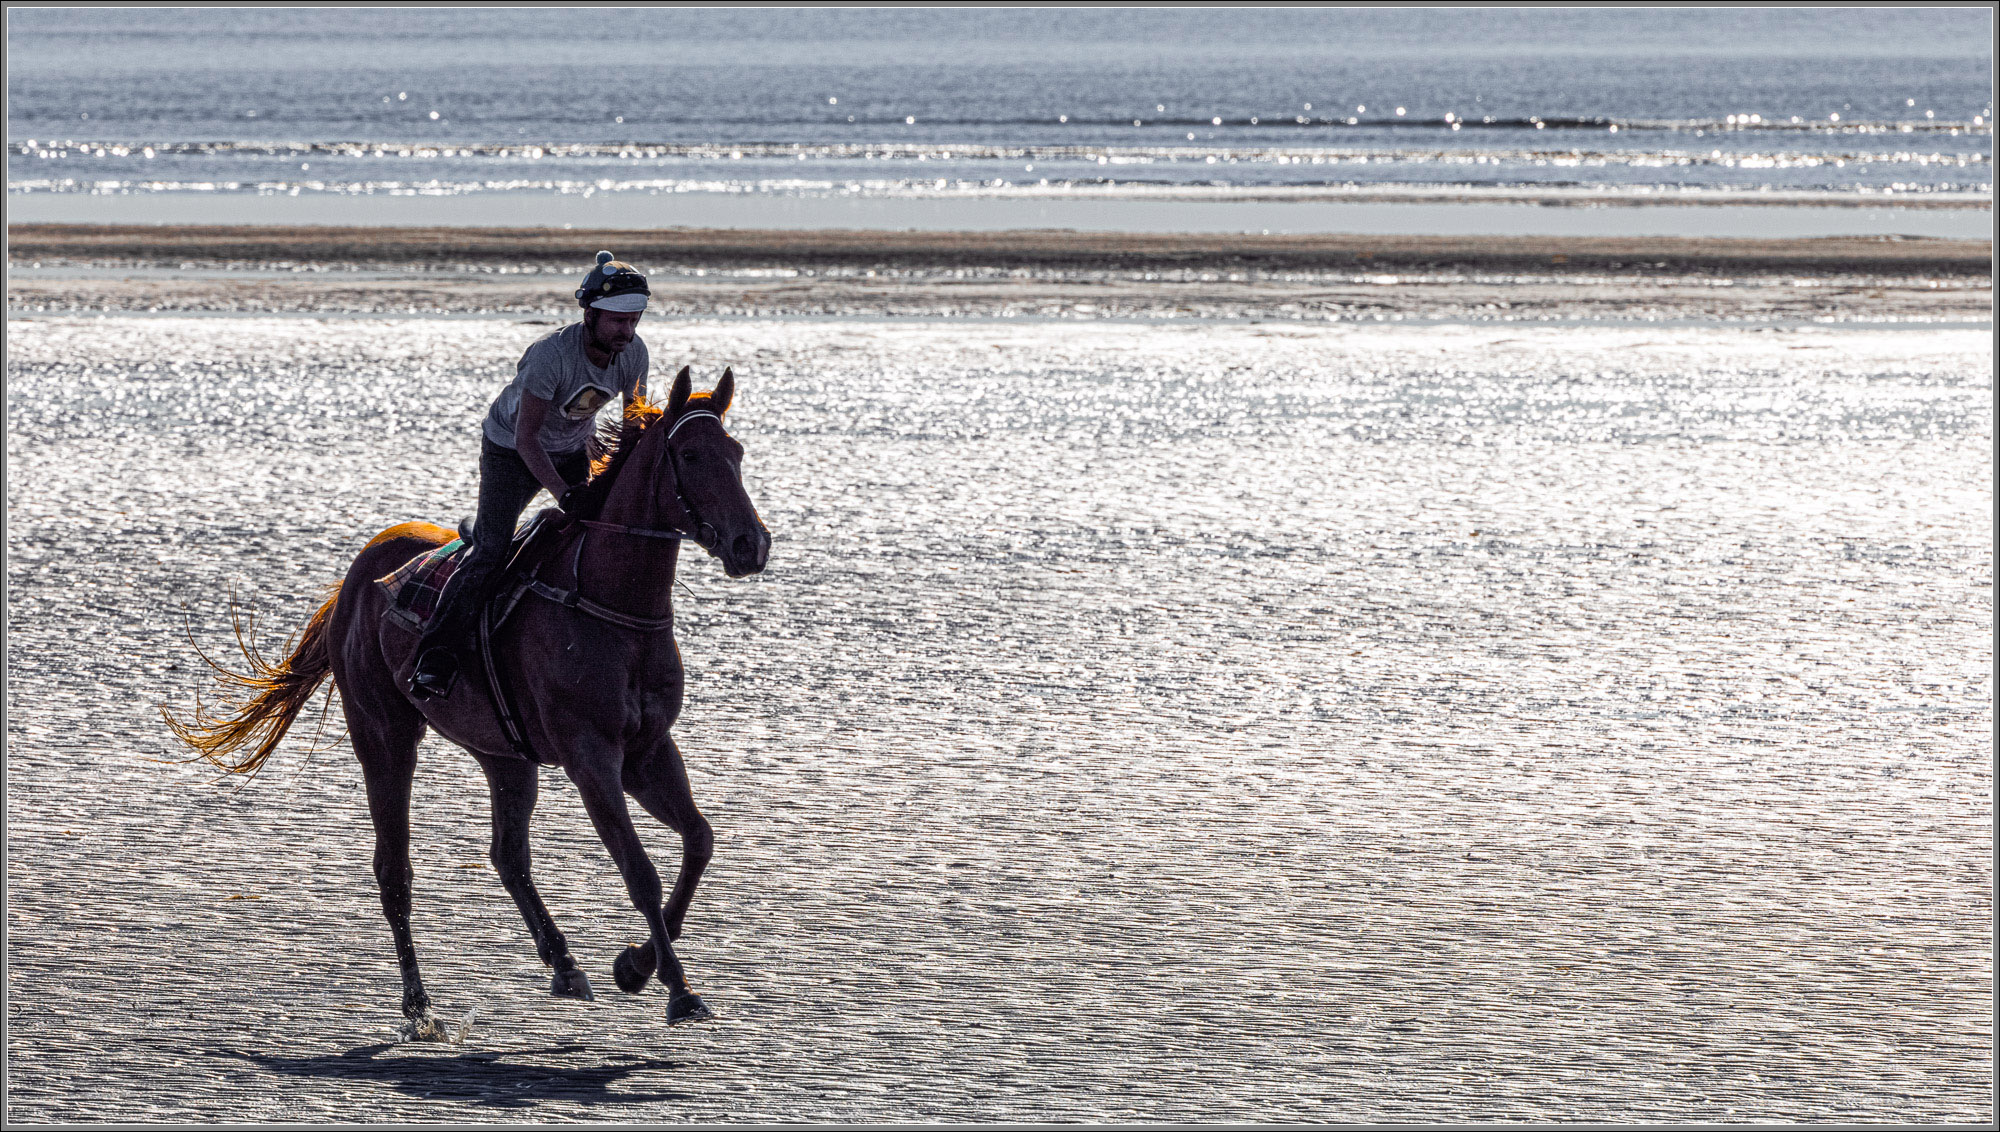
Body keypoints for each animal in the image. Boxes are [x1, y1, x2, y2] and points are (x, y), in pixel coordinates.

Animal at [162, 366, 764, 1040]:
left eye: (736, 452)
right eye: (690, 456)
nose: (750, 544)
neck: (611, 604)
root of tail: (354, 579)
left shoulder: (647, 750)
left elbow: (699, 841)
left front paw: (635, 966)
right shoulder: (591, 757)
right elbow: (641, 871)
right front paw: (676, 989)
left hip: (504, 755)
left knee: (508, 856)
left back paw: (564, 966)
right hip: (384, 734)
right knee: (394, 871)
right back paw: (419, 1005)